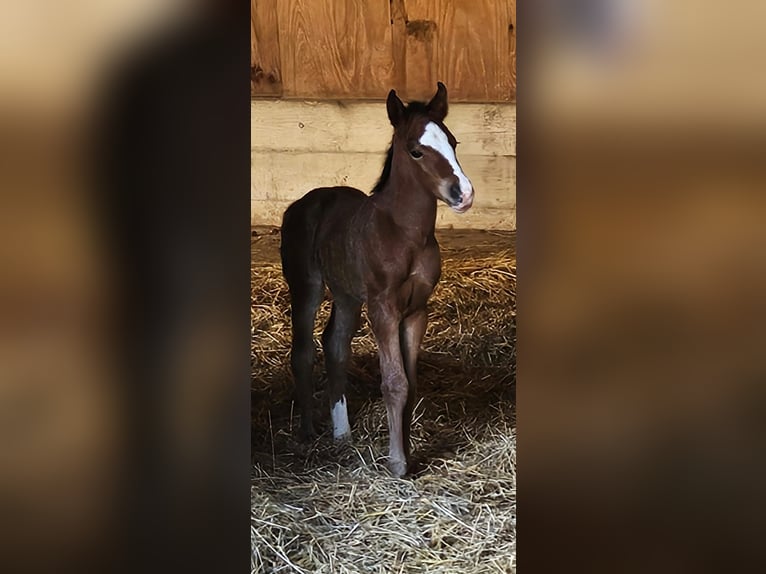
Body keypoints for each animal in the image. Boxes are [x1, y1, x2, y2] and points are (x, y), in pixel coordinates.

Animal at [280, 83, 474, 477]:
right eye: (416, 151)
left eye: (453, 142)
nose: (463, 193)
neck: (405, 233)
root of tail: (301, 203)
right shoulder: (383, 307)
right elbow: (395, 381)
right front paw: (397, 463)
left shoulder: (416, 311)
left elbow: (410, 384)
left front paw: (409, 454)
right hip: (307, 287)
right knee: (303, 351)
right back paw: (307, 432)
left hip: (348, 296)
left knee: (335, 344)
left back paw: (342, 434)